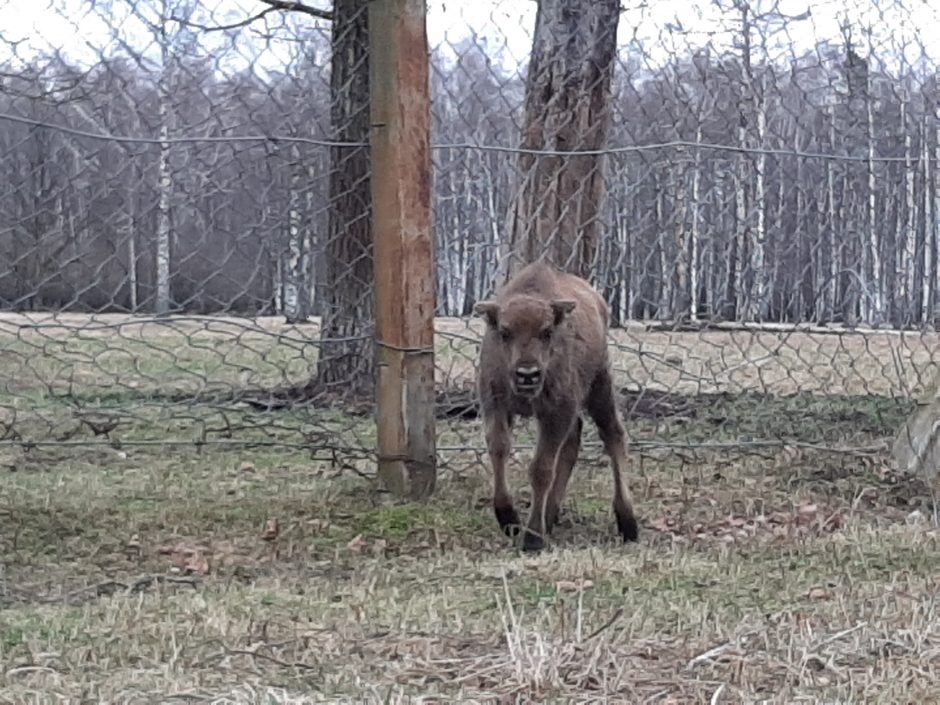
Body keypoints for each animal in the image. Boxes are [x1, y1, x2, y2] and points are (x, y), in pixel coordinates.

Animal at [478, 260, 640, 552]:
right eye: (505, 332)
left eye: (547, 332)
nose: (527, 374)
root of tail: (598, 300)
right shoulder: (495, 405)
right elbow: (499, 450)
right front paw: (509, 519)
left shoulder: (556, 413)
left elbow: (541, 468)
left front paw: (532, 538)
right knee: (574, 442)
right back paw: (550, 516)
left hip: (599, 384)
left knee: (613, 434)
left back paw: (628, 523)